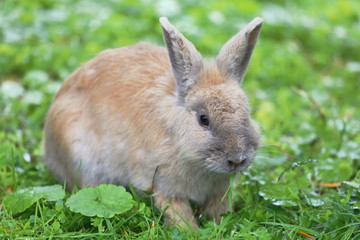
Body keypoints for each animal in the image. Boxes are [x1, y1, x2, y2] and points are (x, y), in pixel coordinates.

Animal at [45, 17, 262, 229]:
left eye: (247, 113)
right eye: (204, 119)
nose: (237, 159)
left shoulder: (220, 191)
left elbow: (218, 209)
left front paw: (219, 227)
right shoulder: (164, 186)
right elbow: (178, 213)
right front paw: (191, 231)